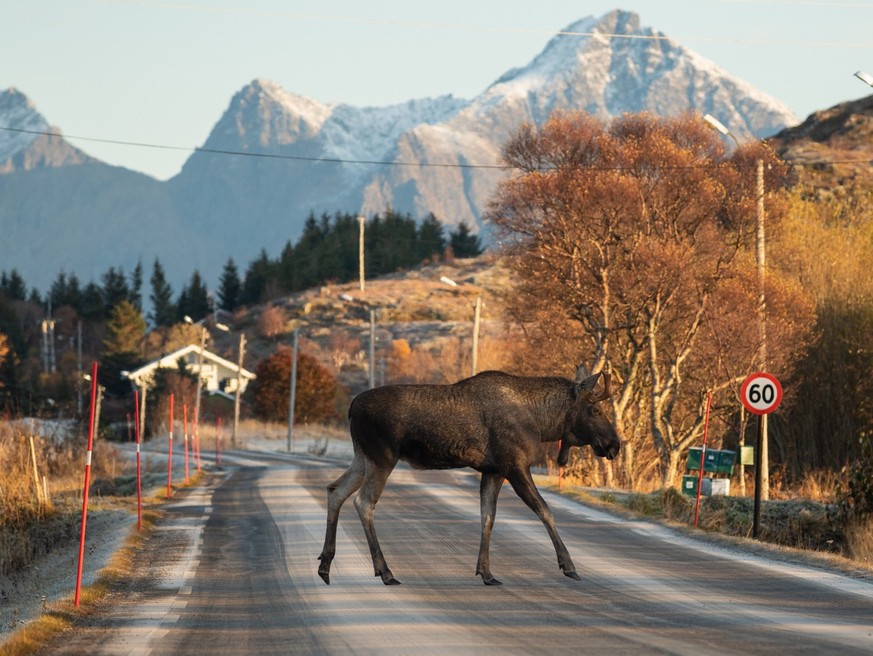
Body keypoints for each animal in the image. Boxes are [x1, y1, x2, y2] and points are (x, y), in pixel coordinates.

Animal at [317, 363, 620, 586]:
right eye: (595, 409)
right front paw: (568, 565)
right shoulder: (515, 465)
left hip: (363, 458)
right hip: (383, 457)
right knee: (363, 502)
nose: (614, 444)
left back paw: (325, 565)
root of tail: (351, 408)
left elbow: (488, 517)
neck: (543, 423)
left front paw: (486, 572)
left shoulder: (493, 471)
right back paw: (385, 571)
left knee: (335, 490)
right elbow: (544, 510)